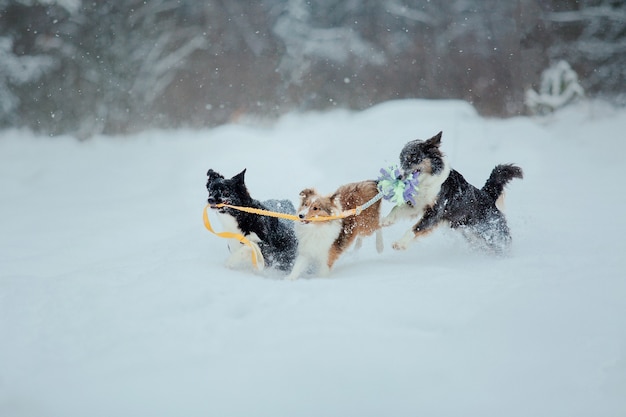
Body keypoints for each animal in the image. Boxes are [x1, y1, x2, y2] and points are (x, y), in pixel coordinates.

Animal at [380, 130, 520, 254]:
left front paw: (400, 243)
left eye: (414, 158)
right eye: (401, 160)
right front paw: (384, 221)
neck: (427, 181)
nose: (398, 177)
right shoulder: (417, 204)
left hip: (492, 233)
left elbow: (415, 228)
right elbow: (396, 209)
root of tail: (488, 196)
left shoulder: (435, 213)